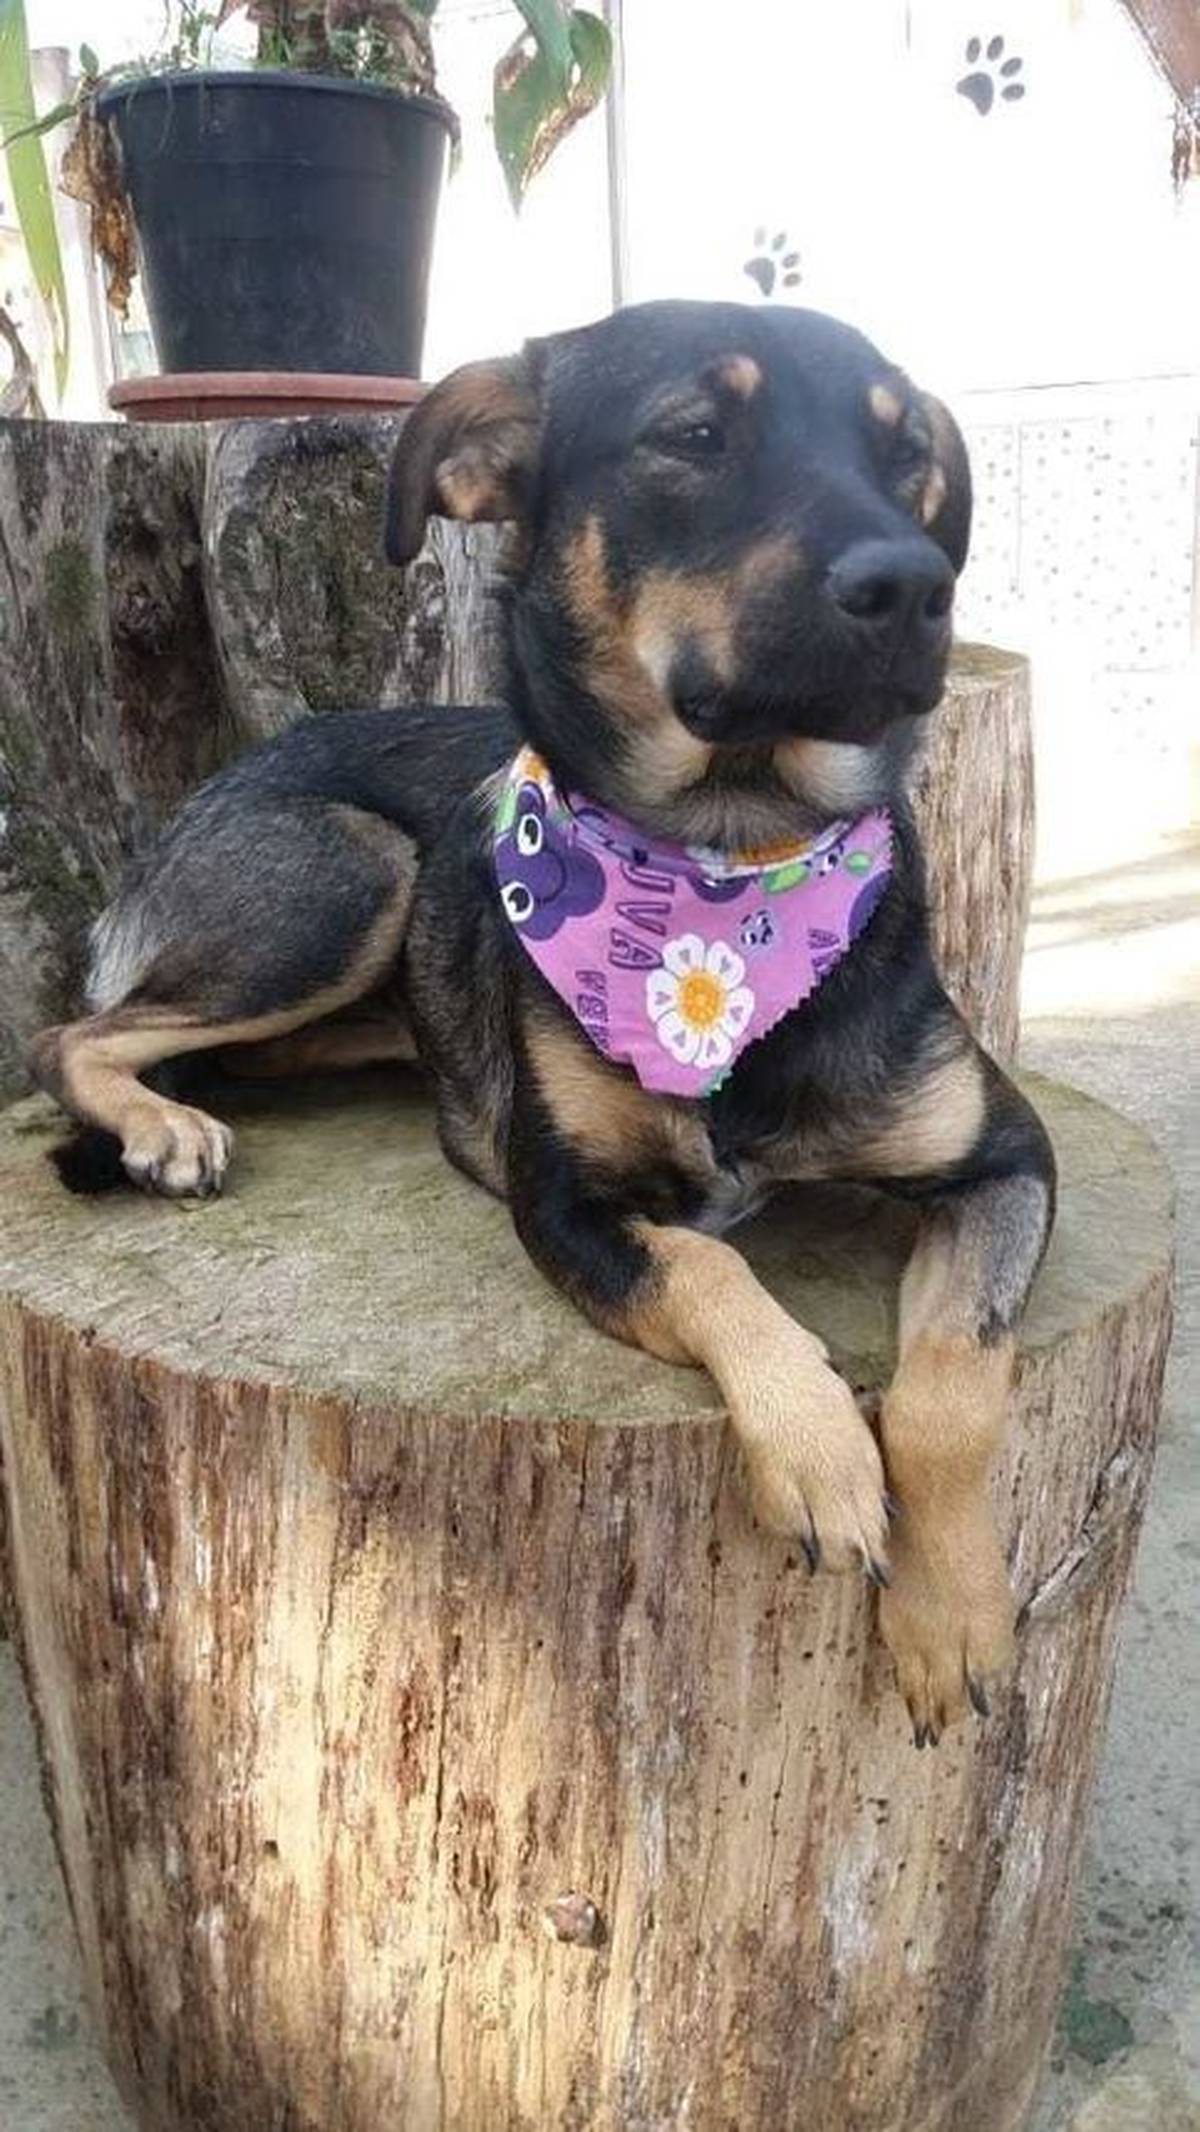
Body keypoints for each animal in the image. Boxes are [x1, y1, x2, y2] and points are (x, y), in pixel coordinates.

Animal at [30, 300, 1055, 1746]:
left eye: (908, 454)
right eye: (694, 433)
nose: (917, 586)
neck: (726, 868)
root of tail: (212, 790)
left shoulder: (1007, 1155)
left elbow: (957, 1383)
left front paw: (952, 1609)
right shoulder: (562, 1205)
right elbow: (708, 1265)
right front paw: (818, 1449)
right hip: (351, 873)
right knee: (73, 1033)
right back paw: (164, 1125)